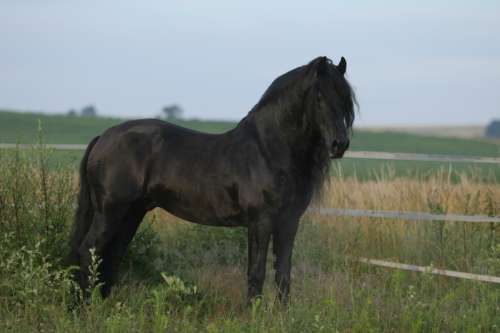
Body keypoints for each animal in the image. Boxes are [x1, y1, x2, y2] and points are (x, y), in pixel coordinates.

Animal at [72, 55, 358, 304]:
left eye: (345, 99)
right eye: (319, 97)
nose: (339, 144)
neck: (268, 151)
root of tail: (103, 137)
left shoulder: (288, 223)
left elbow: (283, 275)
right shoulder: (260, 221)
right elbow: (256, 273)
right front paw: (252, 316)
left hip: (133, 212)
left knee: (111, 255)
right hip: (109, 212)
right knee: (89, 251)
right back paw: (87, 307)